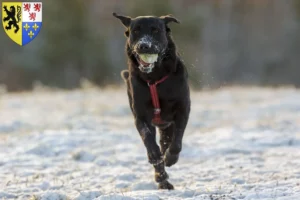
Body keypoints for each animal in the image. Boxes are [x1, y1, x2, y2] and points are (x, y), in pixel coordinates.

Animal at [112, 12, 190, 189]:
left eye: (155, 30)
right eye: (135, 31)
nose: (144, 46)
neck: (154, 77)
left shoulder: (182, 109)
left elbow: (177, 141)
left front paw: (171, 158)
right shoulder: (140, 115)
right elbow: (147, 136)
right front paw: (154, 155)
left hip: (166, 126)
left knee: (167, 142)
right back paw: (162, 179)